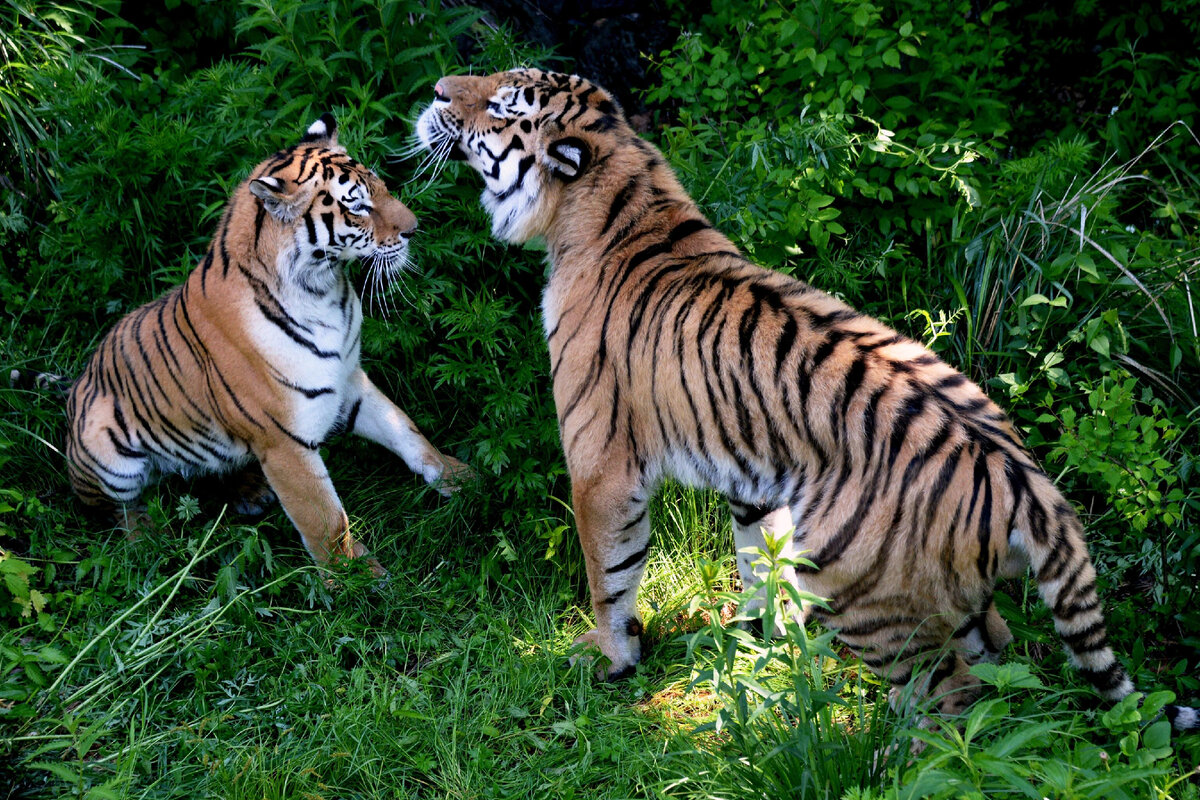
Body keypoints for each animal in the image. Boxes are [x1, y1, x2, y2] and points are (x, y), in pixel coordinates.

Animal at [57, 113, 468, 575]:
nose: (415, 228)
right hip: (107, 454)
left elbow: (409, 433)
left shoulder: (350, 381)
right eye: (358, 206)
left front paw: (463, 479)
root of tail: (76, 384)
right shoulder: (283, 441)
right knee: (114, 510)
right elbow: (325, 520)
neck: (324, 291)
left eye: (381, 188)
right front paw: (359, 581)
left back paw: (250, 492)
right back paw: (146, 540)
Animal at [415, 68, 1200, 734]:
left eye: (502, 102)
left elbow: (608, 570)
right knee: (998, 664)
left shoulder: (602, 464)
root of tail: (1025, 478)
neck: (623, 191)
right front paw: (754, 641)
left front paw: (611, 656)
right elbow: (754, 559)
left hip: (860, 589)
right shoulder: (752, 475)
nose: (439, 89)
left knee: (949, 700)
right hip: (954, 592)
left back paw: (894, 752)